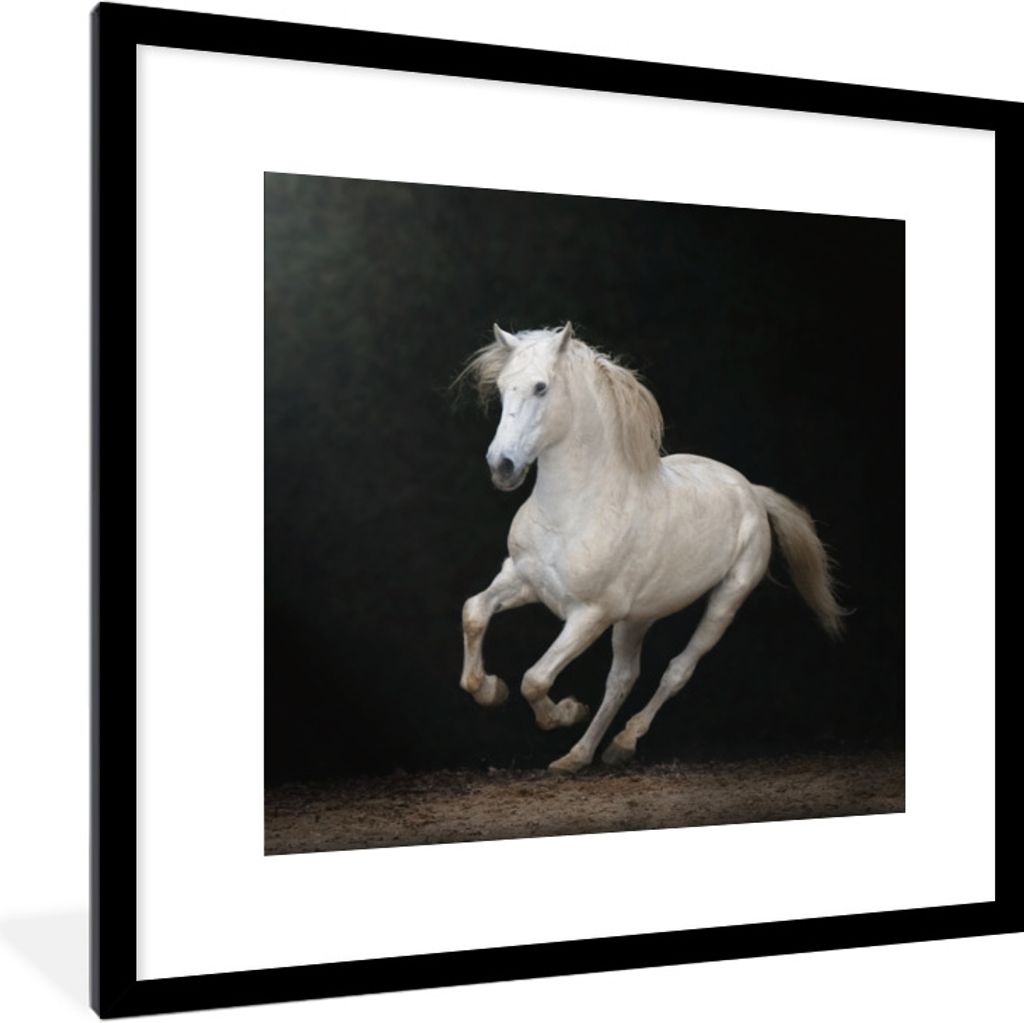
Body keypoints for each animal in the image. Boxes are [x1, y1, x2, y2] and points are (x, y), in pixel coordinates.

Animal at [457, 322, 845, 773]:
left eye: (541, 387)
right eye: (503, 388)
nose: (502, 466)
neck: (573, 511)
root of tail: (751, 490)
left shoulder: (590, 615)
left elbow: (535, 679)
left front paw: (567, 711)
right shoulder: (523, 579)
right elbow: (474, 612)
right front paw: (490, 690)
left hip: (725, 600)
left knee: (675, 671)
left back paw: (622, 742)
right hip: (636, 618)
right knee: (622, 679)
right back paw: (579, 755)